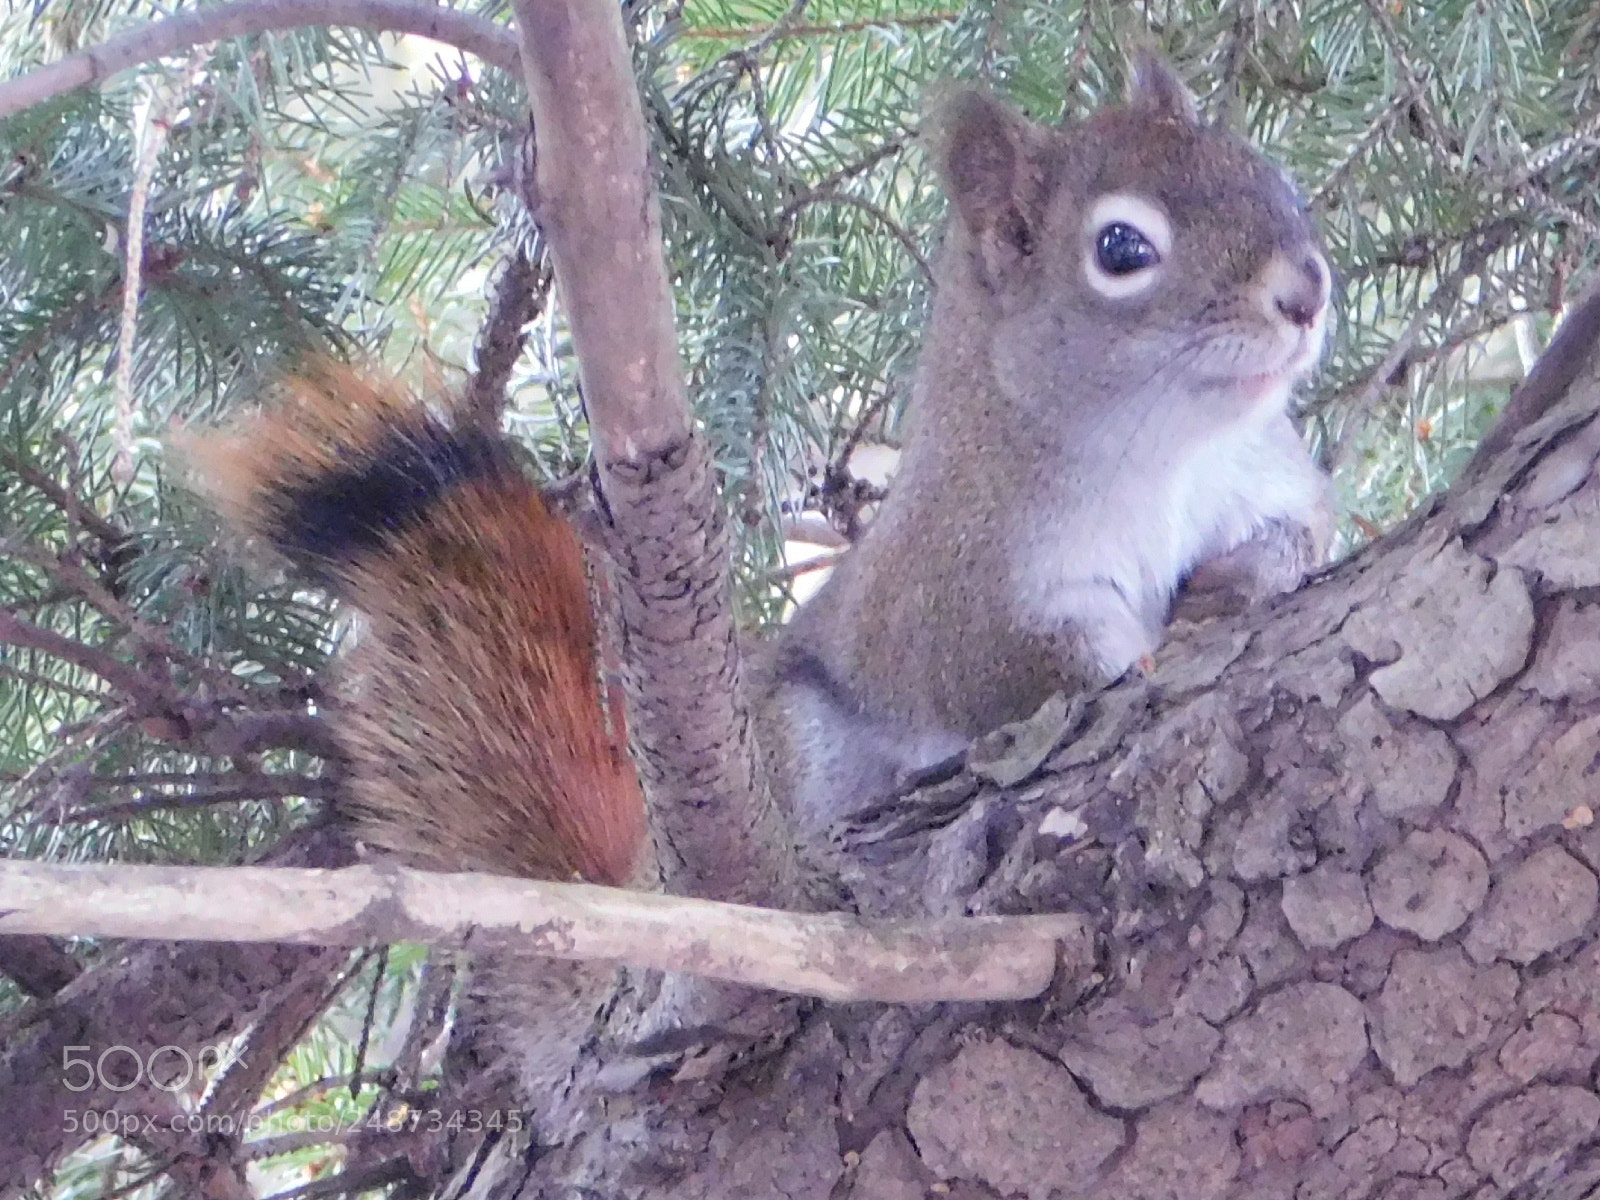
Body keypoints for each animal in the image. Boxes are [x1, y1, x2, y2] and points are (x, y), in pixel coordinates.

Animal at [765, 54, 1334, 837]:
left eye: (1276, 178)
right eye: (1121, 248)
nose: (1307, 295)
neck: (1163, 449)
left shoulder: (1271, 474)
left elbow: (1305, 532)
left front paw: (1235, 581)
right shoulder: (964, 604)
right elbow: (1035, 672)